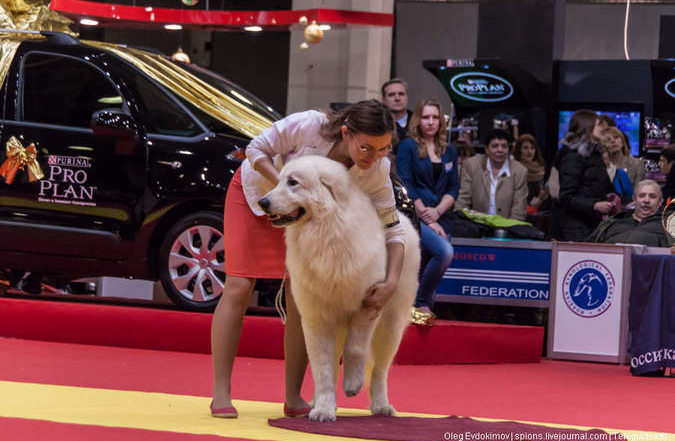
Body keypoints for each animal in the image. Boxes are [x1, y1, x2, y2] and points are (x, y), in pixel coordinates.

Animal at [258, 155, 420, 420]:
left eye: (293, 182)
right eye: (279, 180)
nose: (263, 202)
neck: (328, 232)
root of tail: (405, 221)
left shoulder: (368, 307)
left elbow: (354, 348)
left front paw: (352, 384)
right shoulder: (317, 318)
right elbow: (323, 367)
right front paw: (323, 408)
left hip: (390, 326)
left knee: (380, 370)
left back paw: (382, 406)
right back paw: (319, 403)